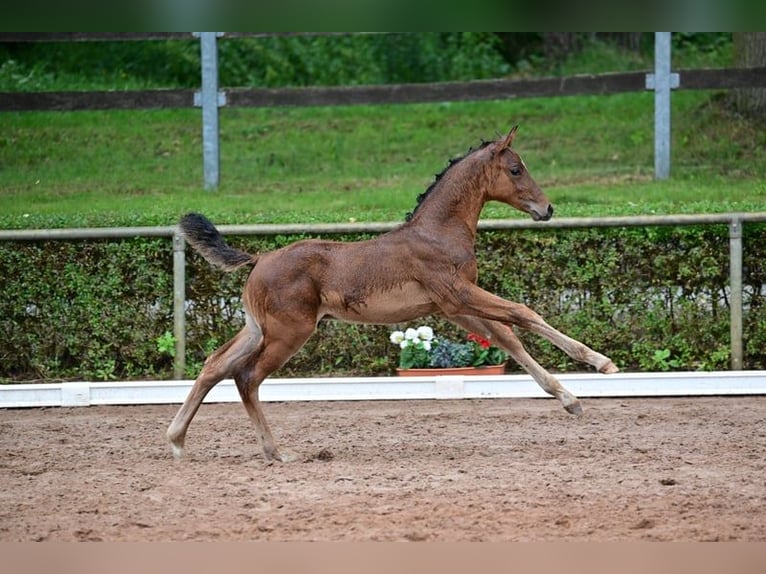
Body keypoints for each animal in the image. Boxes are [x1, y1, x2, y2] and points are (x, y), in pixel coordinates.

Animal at [167, 125, 619, 462]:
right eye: (515, 170)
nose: (548, 209)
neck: (437, 232)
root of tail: (258, 259)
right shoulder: (459, 293)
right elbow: (523, 313)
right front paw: (601, 363)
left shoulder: (452, 306)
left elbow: (507, 337)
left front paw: (570, 399)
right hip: (288, 334)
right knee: (246, 377)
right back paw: (274, 451)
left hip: (257, 329)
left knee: (214, 365)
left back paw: (177, 440)